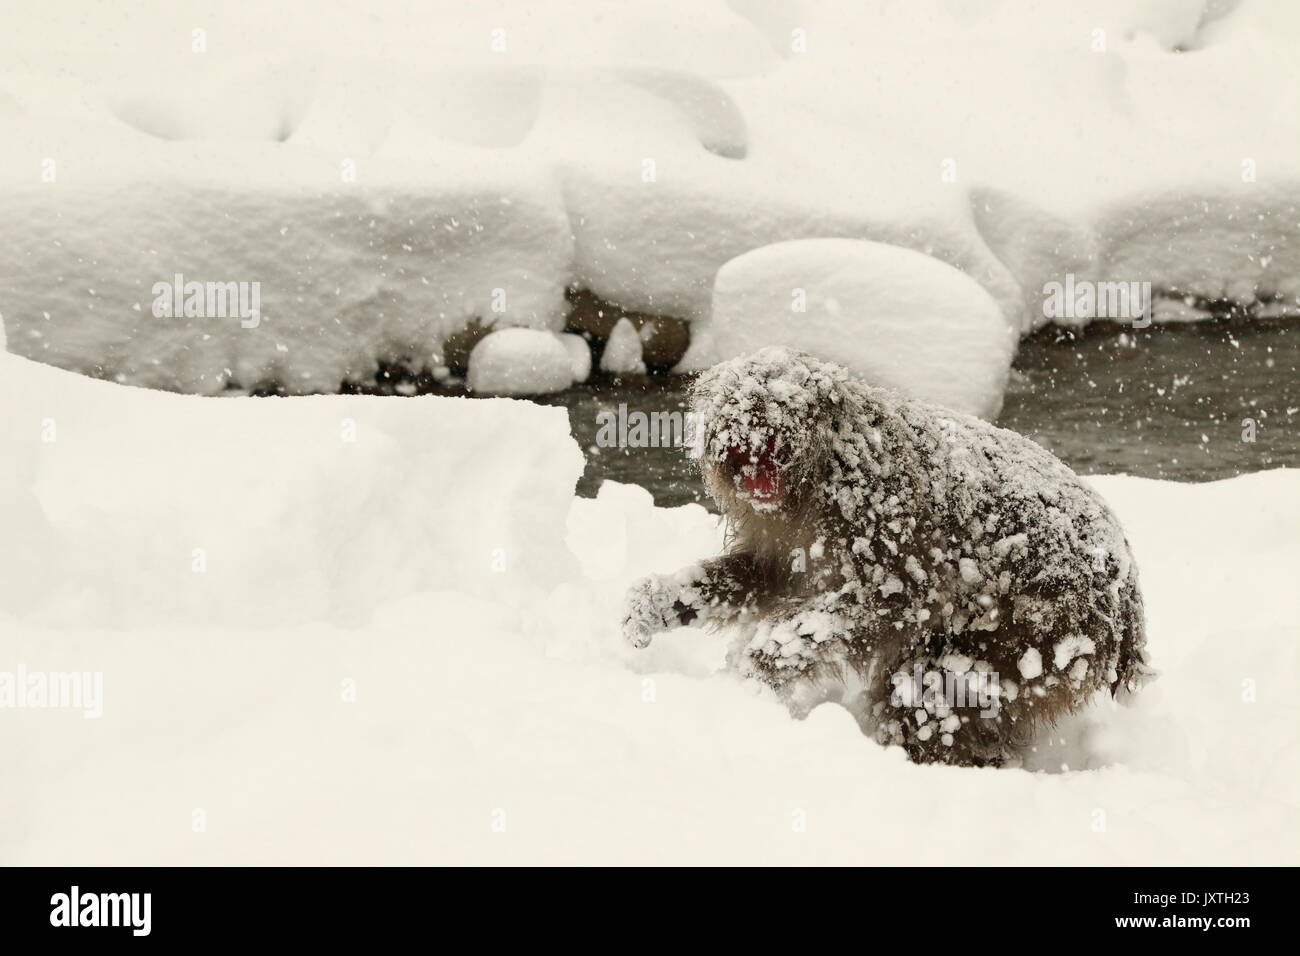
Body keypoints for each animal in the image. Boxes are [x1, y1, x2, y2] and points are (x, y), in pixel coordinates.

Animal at [621, 348, 1149, 764]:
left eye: (773, 447)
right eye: (743, 450)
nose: (757, 479)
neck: (816, 476)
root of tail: (1129, 596)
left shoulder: (877, 506)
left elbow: (897, 597)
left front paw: (760, 665)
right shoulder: (778, 525)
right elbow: (768, 576)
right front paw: (659, 604)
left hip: (1047, 627)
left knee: (935, 691)